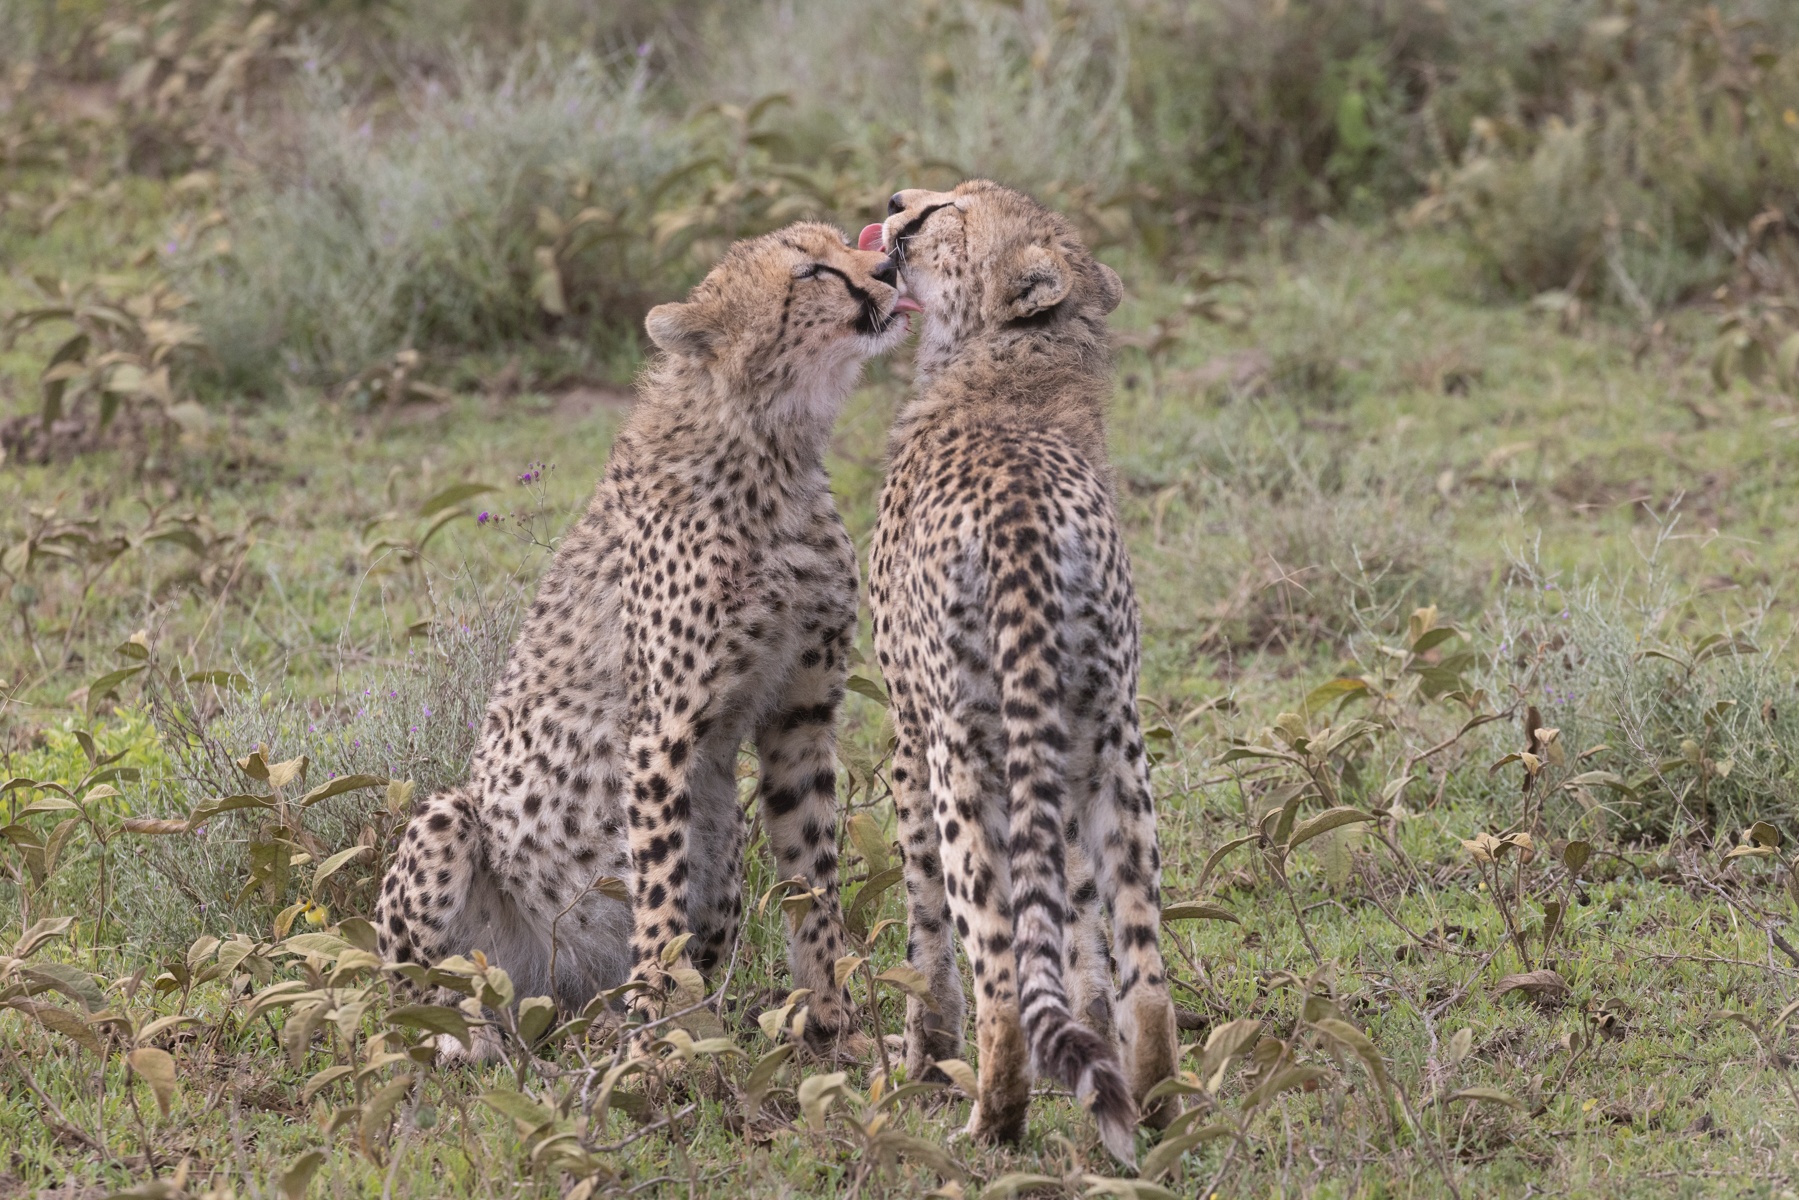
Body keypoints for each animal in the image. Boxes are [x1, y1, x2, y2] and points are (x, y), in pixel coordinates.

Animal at [375, 220, 913, 1057]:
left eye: (843, 244)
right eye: (812, 272)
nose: (889, 264)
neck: (772, 442)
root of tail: (557, 994)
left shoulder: (801, 717)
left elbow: (813, 876)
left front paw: (831, 1023)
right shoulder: (662, 732)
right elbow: (658, 893)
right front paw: (660, 1043)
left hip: (722, 847)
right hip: (449, 825)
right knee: (407, 995)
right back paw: (467, 1033)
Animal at [867, 180, 1187, 1165]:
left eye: (947, 214)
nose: (894, 200)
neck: (1009, 364)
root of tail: (1022, 524)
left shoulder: (907, 729)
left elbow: (924, 926)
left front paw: (920, 1062)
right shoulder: (1071, 753)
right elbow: (1079, 925)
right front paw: (1084, 1046)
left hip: (964, 760)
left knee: (1000, 979)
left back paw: (988, 1123)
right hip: (1117, 748)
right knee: (1146, 973)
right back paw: (1150, 1113)